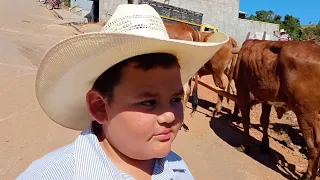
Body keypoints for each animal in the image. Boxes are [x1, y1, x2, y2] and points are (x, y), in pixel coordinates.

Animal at [232, 39, 320, 180]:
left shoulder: (242, 90)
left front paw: (244, 146)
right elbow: (264, 121)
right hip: (312, 116)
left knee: (313, 146)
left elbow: (246, 120)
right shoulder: (266, 99)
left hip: (304, 113)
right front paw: (264, 146)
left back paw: (307, 176)